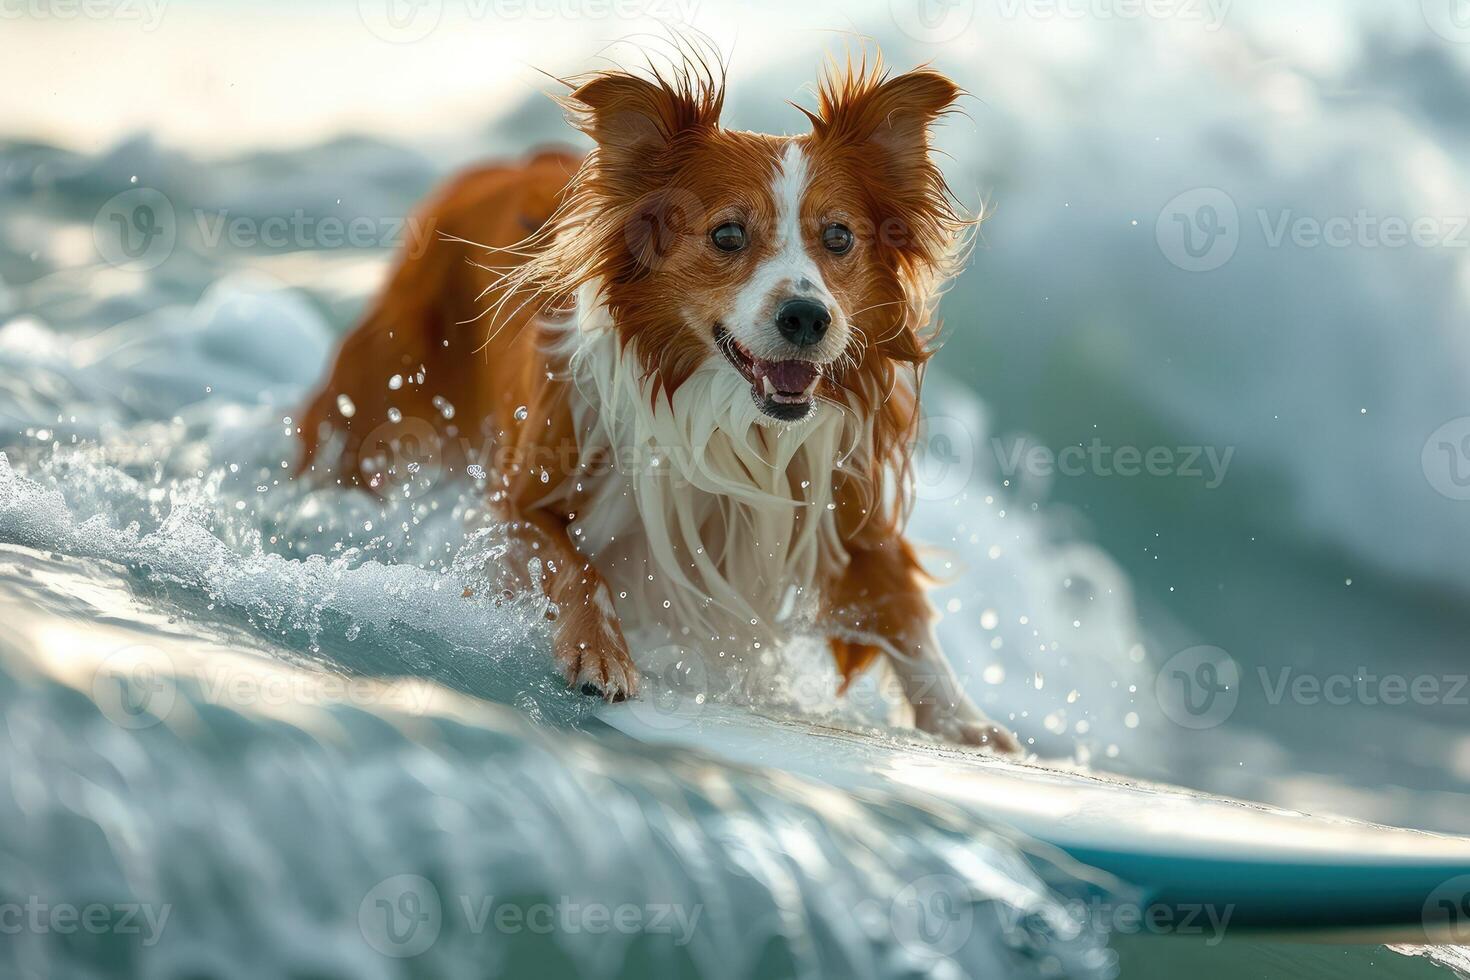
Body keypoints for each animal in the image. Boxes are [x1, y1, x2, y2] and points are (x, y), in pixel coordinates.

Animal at [294, 53, 1017, 758]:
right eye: (728, 234)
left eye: (838, 237)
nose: (807, 317)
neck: (726, 419)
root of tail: (498, 166)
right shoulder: (519, 499)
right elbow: (574, 565)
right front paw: (600, 654)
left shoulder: (844, 499)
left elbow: (903, 608)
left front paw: (966, 726)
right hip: (374, 418)